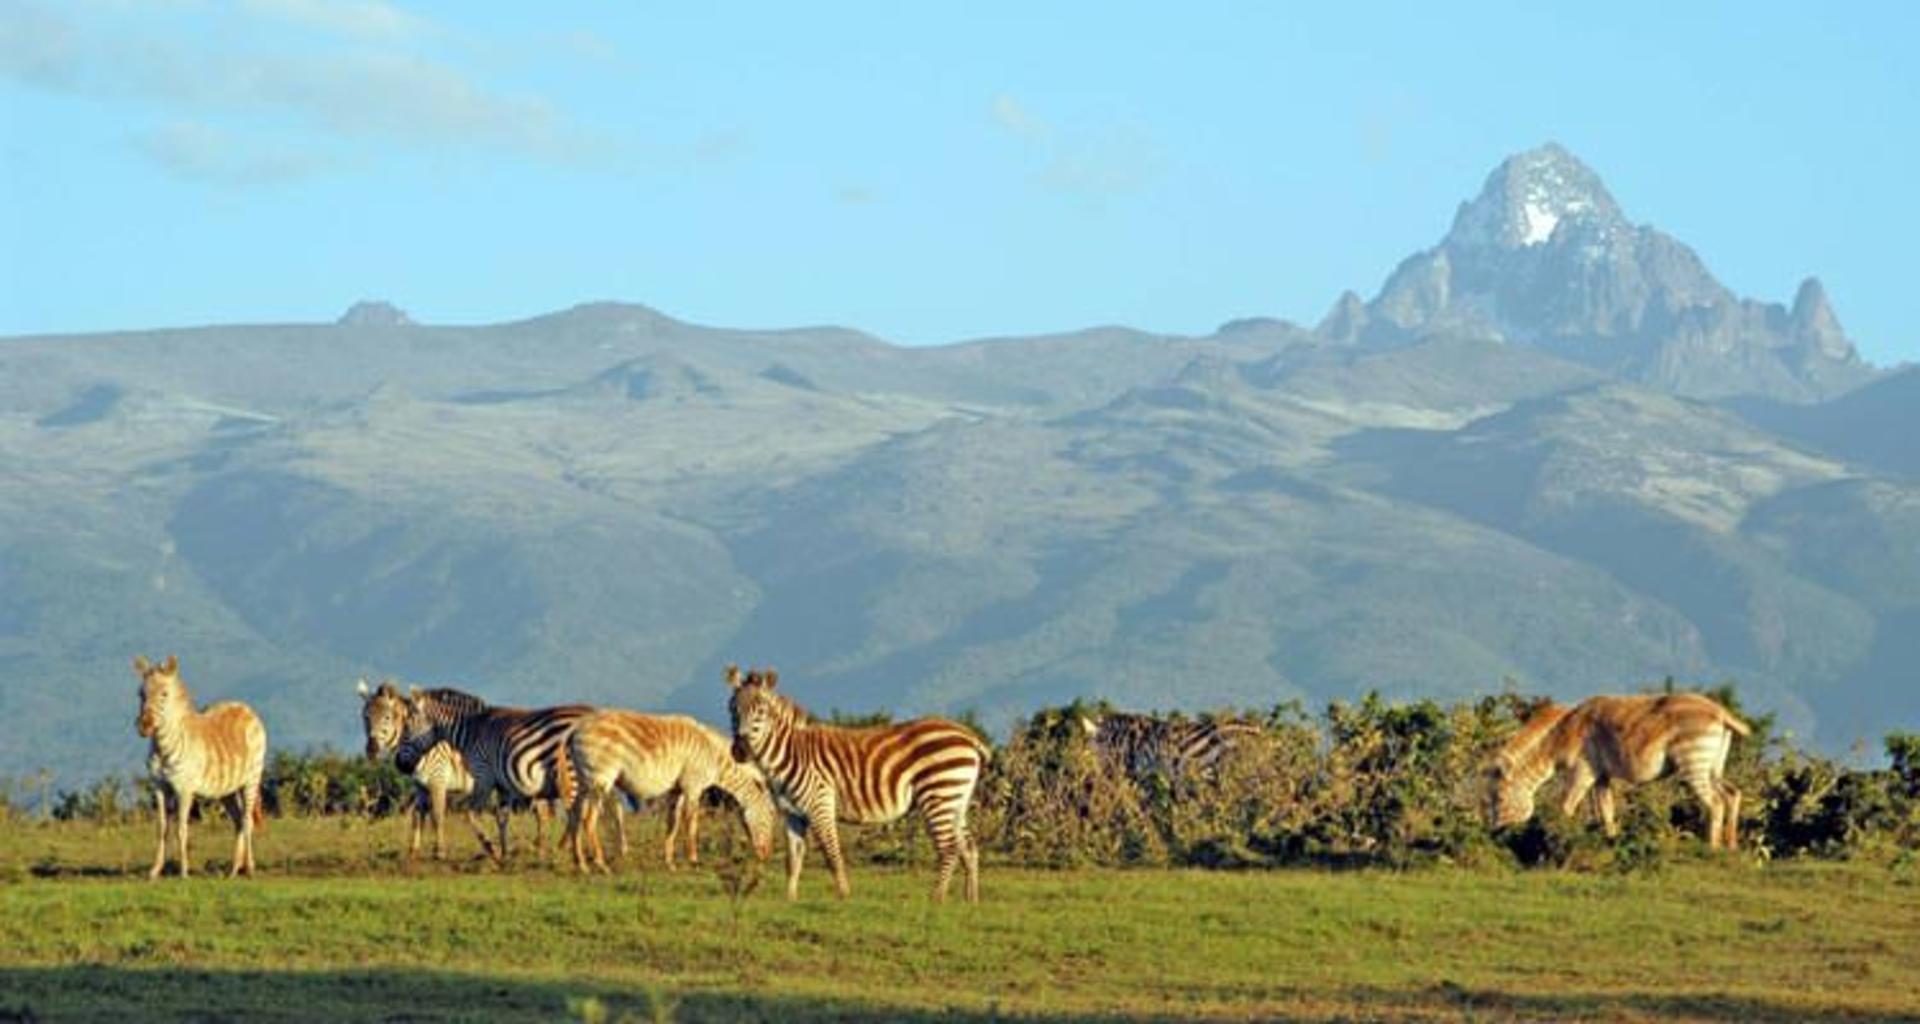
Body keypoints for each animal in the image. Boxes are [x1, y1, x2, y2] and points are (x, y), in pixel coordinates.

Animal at [133, 654, 268, 879]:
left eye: (164, 694)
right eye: (141, 694)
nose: (144, 726)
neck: (163, 748)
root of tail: (245, 708)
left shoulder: (184, 790)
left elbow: (181, 829)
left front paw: (183, 872)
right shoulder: (159, 788)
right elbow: (162, 827)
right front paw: (155, 871)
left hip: (252, 778)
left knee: (247, 820)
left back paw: (249, 868)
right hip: (227, 790)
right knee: (238, 821)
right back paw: (233, 870)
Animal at [391, 685, 597, 865]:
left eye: (406, 728)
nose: (399, 764)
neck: (471, 732)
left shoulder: (482, 777)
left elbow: (469, 813)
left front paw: (492, 849)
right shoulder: (502, 785)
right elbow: (502, 818)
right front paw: (505, 854)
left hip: (570, 775)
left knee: (576, 814)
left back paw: (567, 851)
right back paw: (572, 851)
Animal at [561, 709, 779, 874]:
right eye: (770, 816)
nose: (765, 856)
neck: (713, 757)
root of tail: (576, 729)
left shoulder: (677, 790)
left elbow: (672, 824)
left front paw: (670, 863)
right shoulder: (693, 786)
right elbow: (691, 825)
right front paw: (694, 861)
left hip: (584, 781)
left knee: (575, 815)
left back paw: (581, 863)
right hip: (600, 780)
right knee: (589, 819)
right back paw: (601, 864)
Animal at [725, 665, 990, 903]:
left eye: (761, 711)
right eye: (732, 709)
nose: (740, 750)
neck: (790, 753)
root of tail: (969, 735)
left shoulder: (819, 804)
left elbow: (831, 853)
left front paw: (843, 895)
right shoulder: (792, 813)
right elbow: (794, 859)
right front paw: (790, 900)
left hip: (939, 794)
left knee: (949, 848)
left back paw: (936, 899)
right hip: (955, 800)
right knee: (969, 847)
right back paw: (971, 900)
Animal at [1487, 693, 1752, 849]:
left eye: (1498, 797)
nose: (1495, 834)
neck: (1564, 733)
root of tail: (1721, 713)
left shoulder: (1583, 771)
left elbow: (1566, 807)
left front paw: (1556, 840)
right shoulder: (1601, 777)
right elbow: (1606, 813)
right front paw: (1610, 842)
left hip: (1694, 765)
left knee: (1715, 803)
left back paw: (1712, 848)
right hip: (1712, 767)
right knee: (1733, 794)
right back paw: (1731, 847)